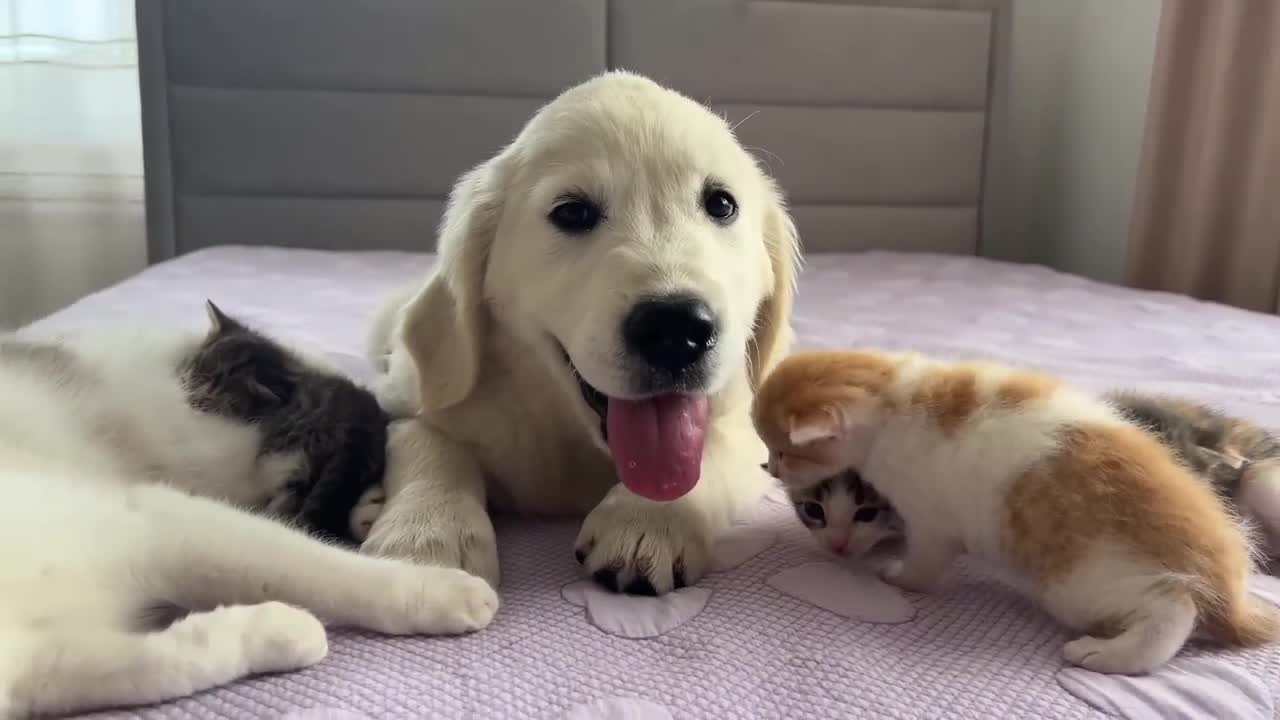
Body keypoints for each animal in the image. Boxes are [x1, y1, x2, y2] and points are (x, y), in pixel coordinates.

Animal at [363, 70, 798, 591]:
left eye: (721, 204)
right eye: (572, 212)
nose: (677, 329)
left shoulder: (742, 422)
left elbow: (709, 449)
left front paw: (647, 520)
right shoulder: (406, 399)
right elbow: (428, 439)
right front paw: (427, 539)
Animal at [752, 348, 1274, 671]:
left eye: (783, 451)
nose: (768, 466)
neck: (895, 392)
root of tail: (1226, 581)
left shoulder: (930, 517)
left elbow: (926, 560)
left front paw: (900, 576)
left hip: (1080, 582)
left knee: (1175, 608)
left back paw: (1106, 655)